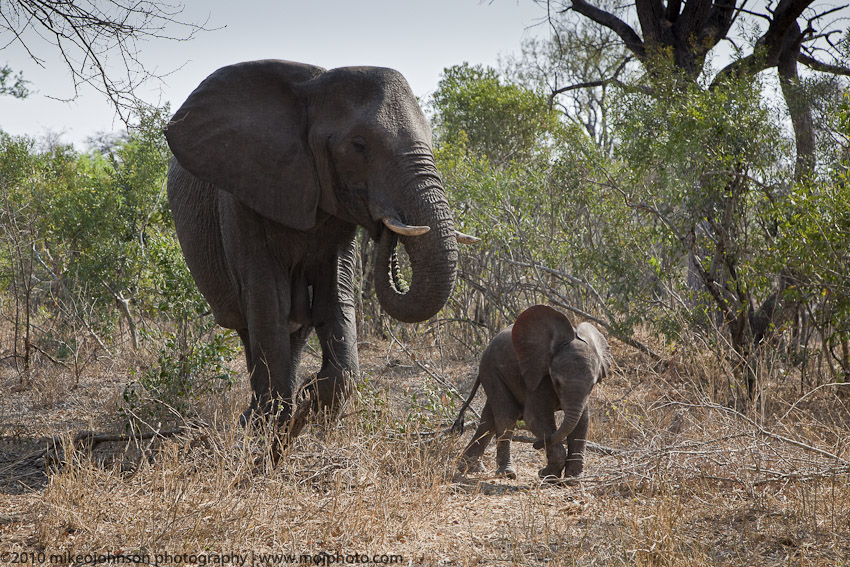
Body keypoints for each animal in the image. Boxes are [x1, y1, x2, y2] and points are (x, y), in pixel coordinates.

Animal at [164, 61, 470, 434]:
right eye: (358, 145)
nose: (387, 224)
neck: (312, 86)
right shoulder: (242, 199)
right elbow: (269, 299)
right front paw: (275, 427)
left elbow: (334, 294)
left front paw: (307, 401)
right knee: (254, 327)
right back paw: (253, 420)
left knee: (294, 330)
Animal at [450, 304, 608, 482]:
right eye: (557, 382)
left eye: (592, 385)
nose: (535, 444)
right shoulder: (538, 377)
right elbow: (534, 418)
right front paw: (548, 476)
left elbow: (582, 421)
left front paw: (572, 480)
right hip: (491, 369)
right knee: (506, 416)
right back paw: (507, 473)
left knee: (489, 419)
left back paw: (469, 468)